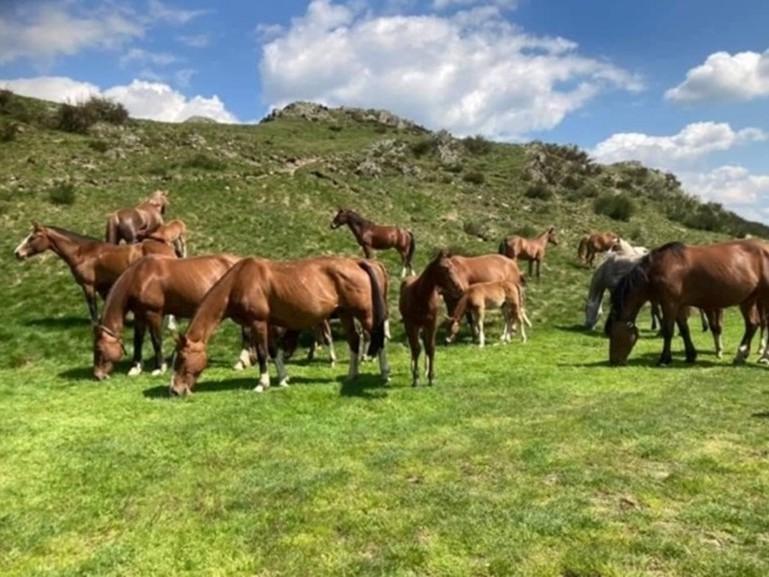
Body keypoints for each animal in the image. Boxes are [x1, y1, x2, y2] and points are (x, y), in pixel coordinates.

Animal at [14, 223, 175, 323]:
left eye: (32, 237)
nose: (17, 253)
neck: (82, 253)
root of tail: (167, 247)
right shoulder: (102, 287)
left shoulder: (88, 286)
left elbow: (93, 308)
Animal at [93, 254, 243, 380]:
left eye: (99, 348)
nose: (97, 375)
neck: (140, 277)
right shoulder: (139, 315)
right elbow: (138, 340)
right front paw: (136, 368)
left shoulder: (154, 314)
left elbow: (156, 340)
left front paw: (159, 368)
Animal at [170, 256, 390, 395]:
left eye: (181, 359)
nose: (174, 390)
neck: (240, 281)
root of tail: (358, 262)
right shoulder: (267, 325)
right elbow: (274, 351)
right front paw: (283, 379)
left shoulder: (257, 323)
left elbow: (262, 353)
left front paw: (262, 384)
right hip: (345, 314)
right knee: (354, 340)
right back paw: (352, 375)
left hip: (364, 313)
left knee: (378, 338)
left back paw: (385, 375)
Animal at [399, 250, 467, 386]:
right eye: (444, 268)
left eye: (453, 266)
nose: (460, 288)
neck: (421, 297)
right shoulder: (411, 324)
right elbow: (416, 348)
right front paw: (415, 377)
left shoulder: (431, 325)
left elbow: (430, 348)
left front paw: (431, 377)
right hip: (411, 326)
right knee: (414, 346)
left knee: (424, 344)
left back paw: (425, 370)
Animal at [607, 240, 769, 366]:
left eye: (614, 335)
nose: (613, 361)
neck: (662, 266)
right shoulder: (678, 305)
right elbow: (684, 329)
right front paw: (691, 355)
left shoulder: (669, 303)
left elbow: (668, 330)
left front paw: (664, 359)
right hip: (748, 300)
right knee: (752, 324)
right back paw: (741, 355)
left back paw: (763, 357)